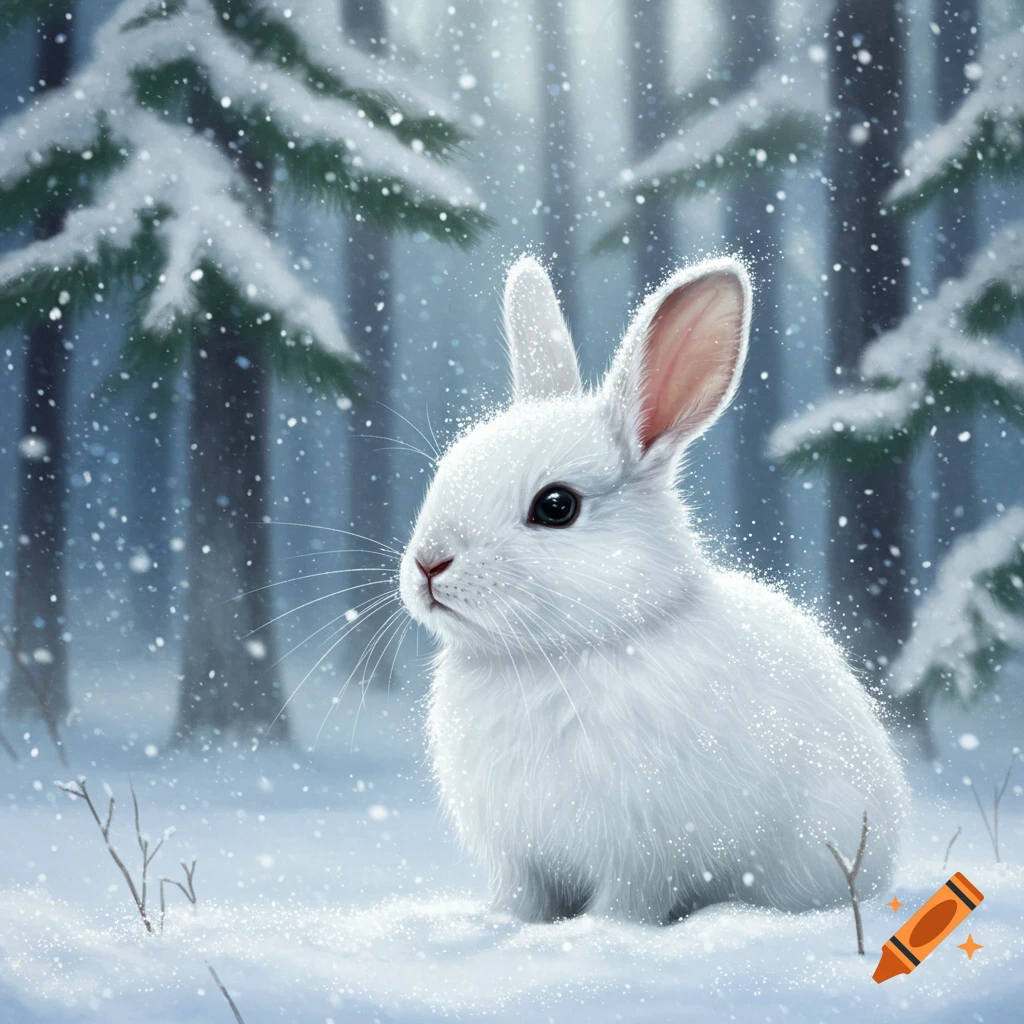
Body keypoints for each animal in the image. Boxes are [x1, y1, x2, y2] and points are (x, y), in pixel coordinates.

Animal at [398, 254, 909, 925]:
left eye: (555, 506)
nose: (428, 565)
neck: (554, 654)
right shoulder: (519, 858)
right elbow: (521, 900)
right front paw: (502, 925)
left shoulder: (641, 854)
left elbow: (626, 904)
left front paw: (597, 935)